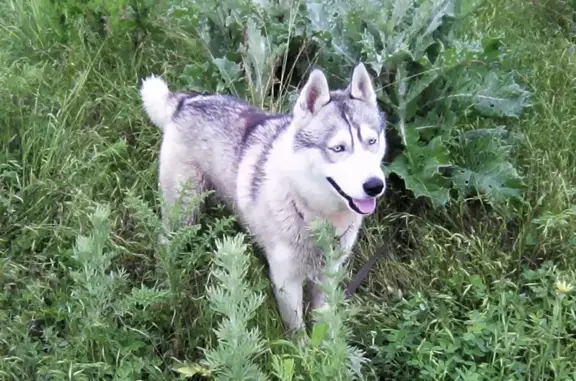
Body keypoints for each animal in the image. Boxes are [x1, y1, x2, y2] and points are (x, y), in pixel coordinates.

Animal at [140, 62, 388, 330]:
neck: (314, 216)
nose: (375, 185)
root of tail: (185, 101)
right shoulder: (286, 281)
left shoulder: (329, 274)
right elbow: (297, 330)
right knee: (166, 243)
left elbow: (324, 319)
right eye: (338, 148)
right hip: (183, 210)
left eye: (372, 141)